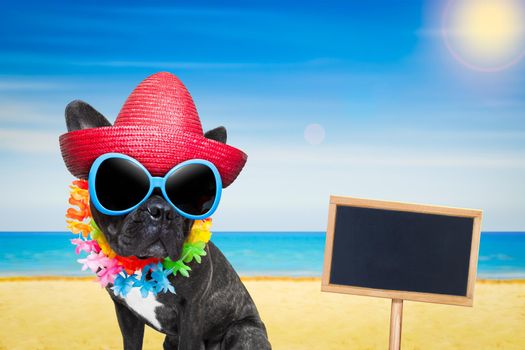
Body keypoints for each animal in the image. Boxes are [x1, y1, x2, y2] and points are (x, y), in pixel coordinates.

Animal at [62, 95, 270, 350]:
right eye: (121, 186)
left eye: (191, 192)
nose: (161, 210)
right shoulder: (125, 312)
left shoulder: (192, 313)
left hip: (243, 332)